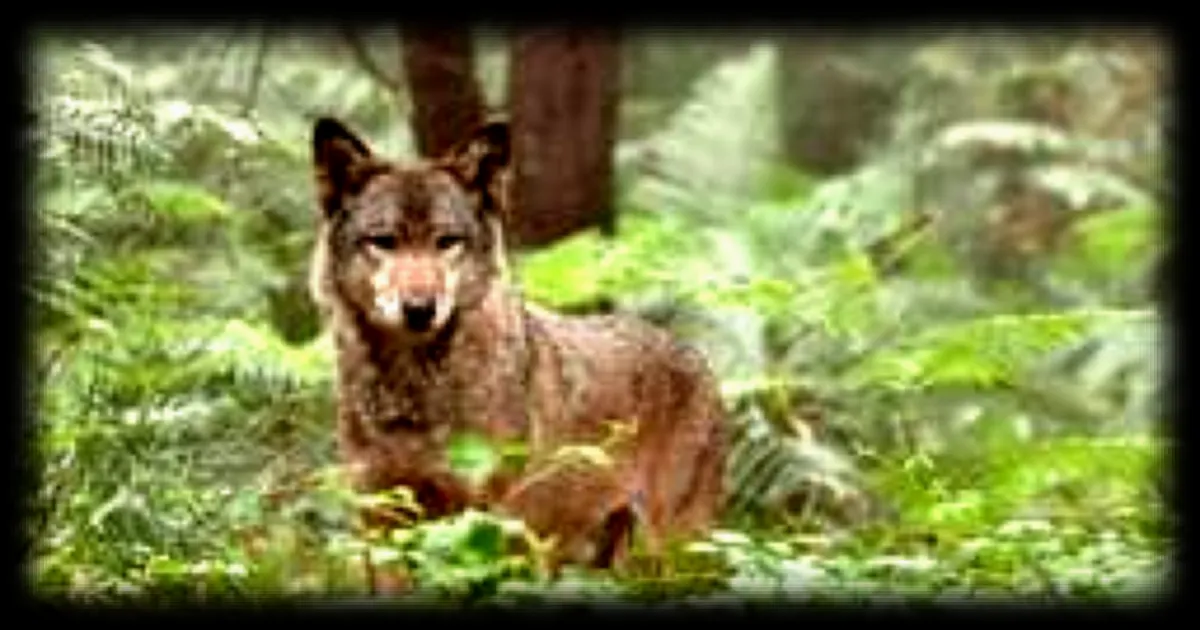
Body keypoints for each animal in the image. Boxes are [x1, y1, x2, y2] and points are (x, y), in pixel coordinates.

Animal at [308, 116, 727, 581]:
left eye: (447, 241)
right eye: (383, 241)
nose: (419, 309)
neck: (413, 391)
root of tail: (695, 355)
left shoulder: (485, 525)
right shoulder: (382, 526)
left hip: (672, 551)